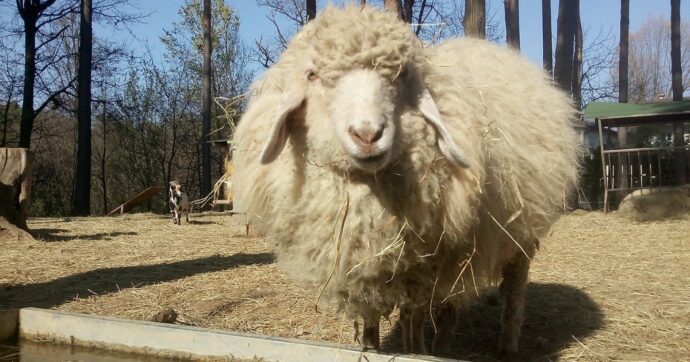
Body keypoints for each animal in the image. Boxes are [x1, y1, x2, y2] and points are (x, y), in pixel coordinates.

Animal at [232, 4, 580, 356]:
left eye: (401, 75)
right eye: (311, 75)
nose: (368, 135)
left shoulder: (422, 268)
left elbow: (414, 319)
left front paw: (417, 352)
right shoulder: (364, 267)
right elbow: (371, 319)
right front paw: (371, 349)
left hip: (521, 232)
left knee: (513, 288)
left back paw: (505, 344)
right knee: (451, 302)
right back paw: (445, 342)